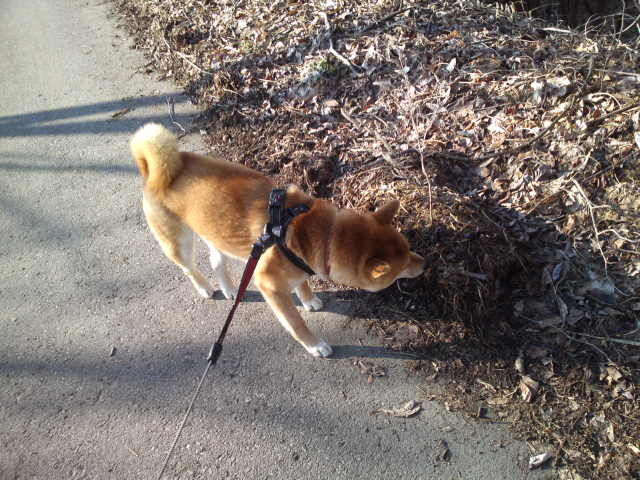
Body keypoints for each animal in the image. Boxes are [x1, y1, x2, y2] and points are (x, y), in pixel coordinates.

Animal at [131, 123, 424, 357]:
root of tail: (156, 172)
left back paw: (229, 289)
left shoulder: (302, 264)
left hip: (216, 231)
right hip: (179, 243)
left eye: (410, 249)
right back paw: (205, 287)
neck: (325, 234)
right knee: (189, 268)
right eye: (401, 267)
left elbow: (303, 283)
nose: (424, 263)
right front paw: (314, 345)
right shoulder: (269, 285)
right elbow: (296, 324)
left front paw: (309, 299)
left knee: (216, 261)